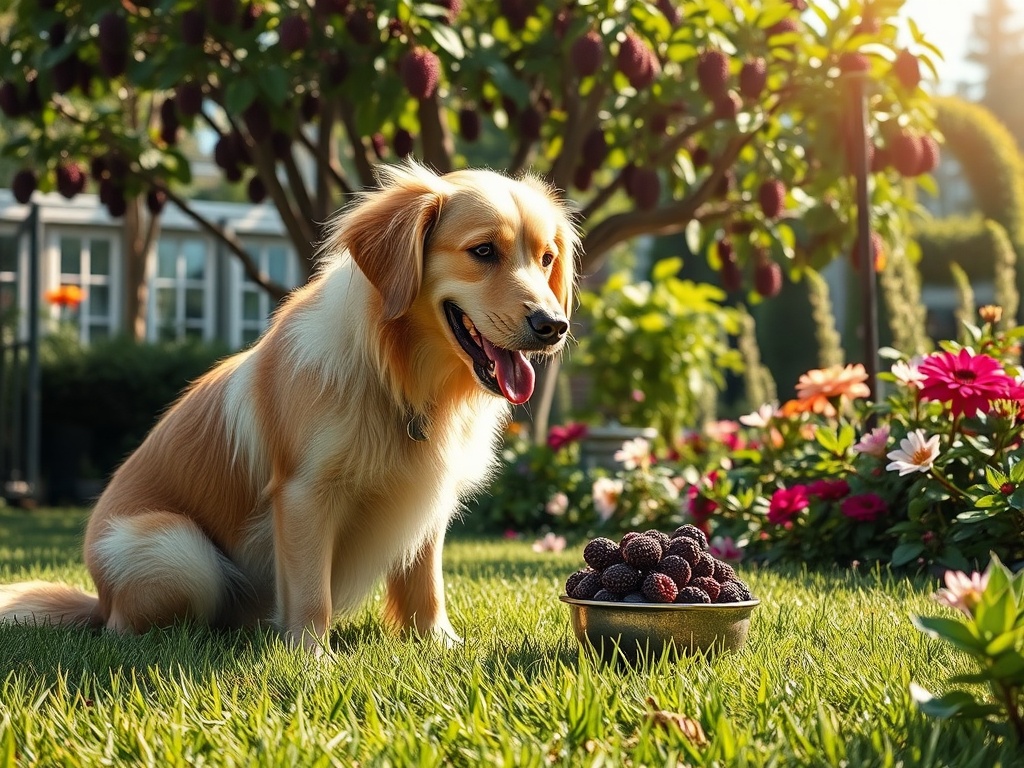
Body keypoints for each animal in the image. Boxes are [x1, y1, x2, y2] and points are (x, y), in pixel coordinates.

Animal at [0, 160, 577, 651]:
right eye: (483, 252)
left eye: (546, 258)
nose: (554, 325)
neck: (398, 375)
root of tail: (97, 600)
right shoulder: (304, 492)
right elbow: (310, 590)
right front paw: (311, 657)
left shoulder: (427, 501)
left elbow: (425, 585)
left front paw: (439, 646)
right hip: (176, 549)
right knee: (127, 627)